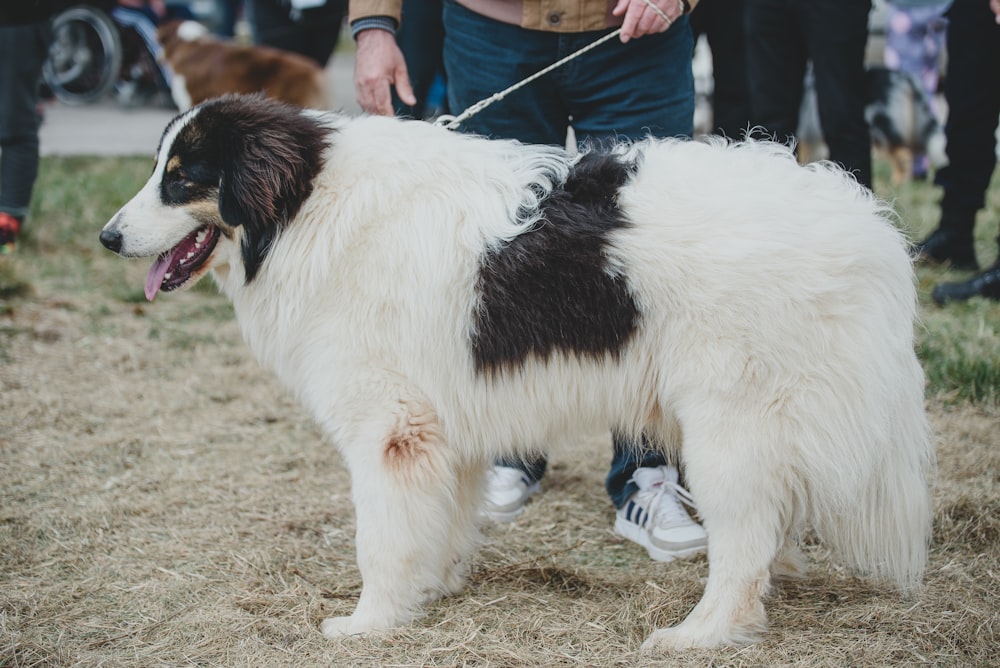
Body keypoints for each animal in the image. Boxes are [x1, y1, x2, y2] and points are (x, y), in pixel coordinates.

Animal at [97, 96, 932, 648]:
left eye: (182, 178)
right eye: (161, 169)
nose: (107, 237)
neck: (307, 206)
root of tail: (863, 224)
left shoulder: (388, 428)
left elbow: (379, 539)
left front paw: (368, 623)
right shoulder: (443, 427)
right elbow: (435, 524)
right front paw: (426, 594)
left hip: (730, 427)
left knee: (745, 538)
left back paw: (700, 634)